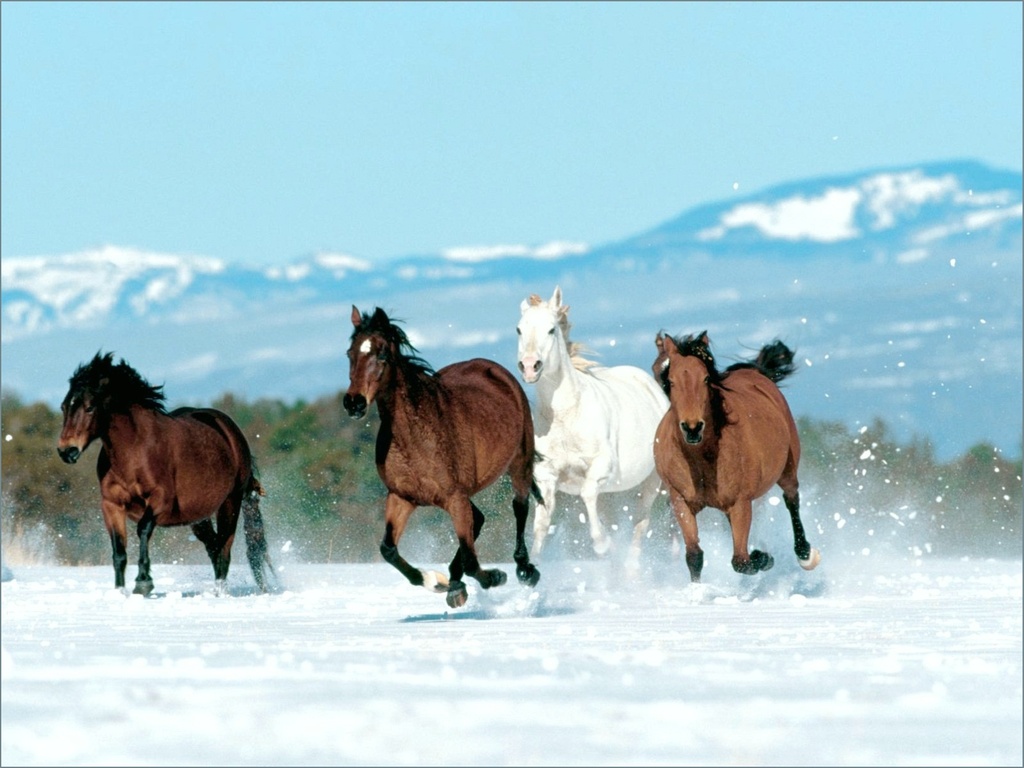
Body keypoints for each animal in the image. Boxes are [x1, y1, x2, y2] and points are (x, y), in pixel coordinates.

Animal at [55, 352, 272, 598]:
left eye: (90, 407)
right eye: (64, 407)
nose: (67, 451)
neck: (133, 450)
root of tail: (231, 432)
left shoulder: (161, 500)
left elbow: (143, 529)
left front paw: (143, 582)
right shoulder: (111, 504)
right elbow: (118, 550)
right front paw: (120, 591)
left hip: (230, 503)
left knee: (224, 548)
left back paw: (220, 593)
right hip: (199, 517)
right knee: (214, 547)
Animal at [342, 303, 540, 610]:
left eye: (382, 353)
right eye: (350, 353)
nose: (354, 403)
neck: (415, 438)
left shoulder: (454, 497)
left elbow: (471, 560)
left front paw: (495, 576)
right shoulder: (402, 497)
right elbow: (388, 550)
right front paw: (437, 582)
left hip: (520, 462)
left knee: (519, 507)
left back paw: (525, 570)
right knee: (478, 520)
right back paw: (455, 584)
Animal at [512, 286, 671, 569]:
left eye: (551, 329)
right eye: (519, 329)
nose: (530, 367)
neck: (566, 417)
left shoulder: (600, 468)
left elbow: (587, 494)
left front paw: (602, 545)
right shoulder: (546, 477)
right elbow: (541, 524)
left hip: (651, 482)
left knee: (640, 524)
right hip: (611, 492)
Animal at [651, 331, 819, 581]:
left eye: (705, 379)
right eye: (671, 381)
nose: (692, 428)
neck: (702, 459)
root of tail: (756, 372)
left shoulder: (740, 504)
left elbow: (741, 560)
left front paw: (763, 557)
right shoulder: (681, 502)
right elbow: (694, 556)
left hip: (788, 468)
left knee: (792, 499)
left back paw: (805, 555)